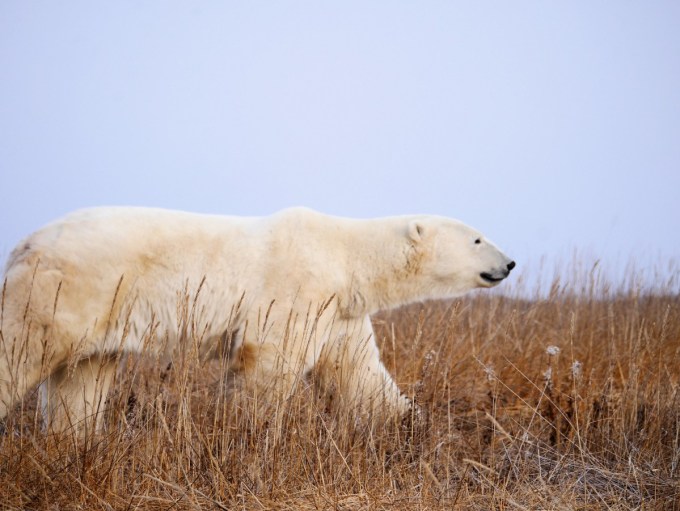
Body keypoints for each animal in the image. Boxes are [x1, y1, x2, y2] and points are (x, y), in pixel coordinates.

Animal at [0, 207, 512, 432]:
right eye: (477, 239)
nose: (509, 263)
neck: (344, 253)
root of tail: (24, 243)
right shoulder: (296, 287)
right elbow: (269, 363)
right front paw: (252, 431)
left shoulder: (339, 313)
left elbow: (359, 373)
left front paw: (412, 426)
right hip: (65, 290)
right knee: (21, 351)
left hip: (104, 308)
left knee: (82, 379)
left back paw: (72, 442)